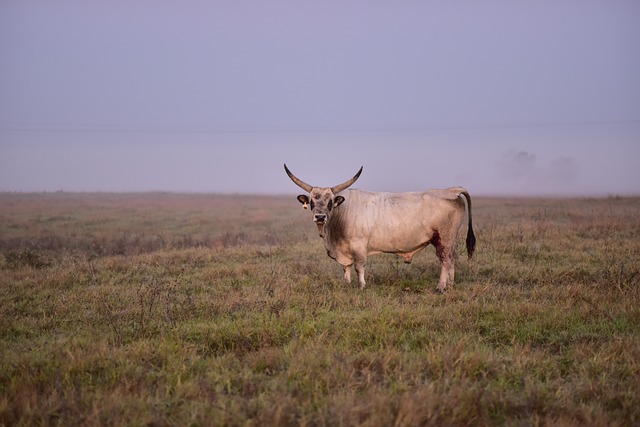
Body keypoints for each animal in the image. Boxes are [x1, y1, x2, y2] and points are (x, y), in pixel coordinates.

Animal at [284, 165, 476, 294]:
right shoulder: (343, 251)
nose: (320, 217)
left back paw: (440, 287)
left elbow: (359, 267)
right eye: (312, 201)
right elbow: (346, 269)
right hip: (450, 240)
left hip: (444, 238)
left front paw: (361, 287)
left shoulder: (359, 247)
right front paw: (347, 285)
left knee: (445, 260)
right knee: (452, 259)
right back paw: (450, 285)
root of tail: (450, 191)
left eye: (330, 202)